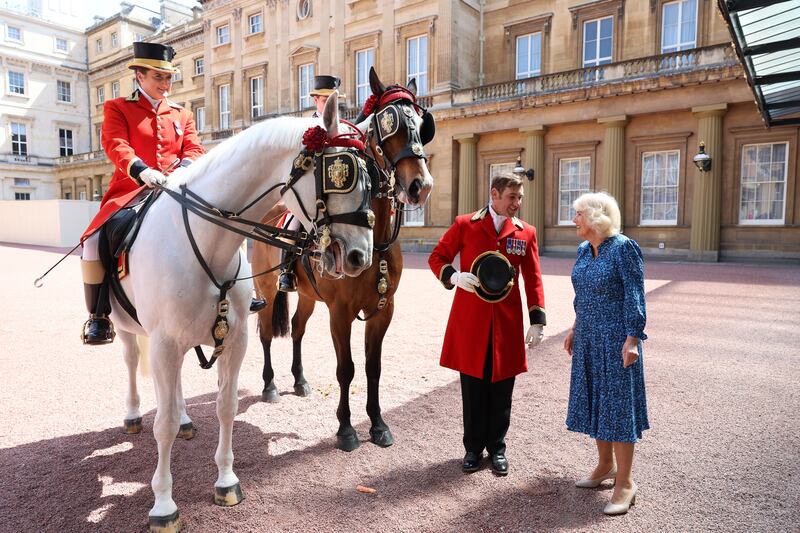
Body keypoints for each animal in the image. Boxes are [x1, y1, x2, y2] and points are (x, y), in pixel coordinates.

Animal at [107, 94, 372, 528]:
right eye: (341, 174)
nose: (359, 256)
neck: (207, 243)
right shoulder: (163, 343)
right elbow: (162, 425)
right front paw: (163, 504)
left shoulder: (234, 340)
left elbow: (226, 408)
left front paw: (226, 482)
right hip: (128, 327)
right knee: (130, 361)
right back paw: (132, 413)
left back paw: (185, 418)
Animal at [253, 67, 434, 448]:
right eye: (389, 122)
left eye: (421, 124)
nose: (420, 186)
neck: (375, 240)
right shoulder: (340, 312)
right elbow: (346, 369)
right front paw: (346, 428)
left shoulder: (382, 309)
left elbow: (372, 367)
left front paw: (378, 423)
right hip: (267, 289)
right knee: (265, 333)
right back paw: (271, 384)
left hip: (307, 296)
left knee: (297, 329)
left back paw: (299, 380)